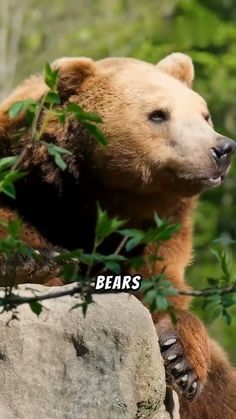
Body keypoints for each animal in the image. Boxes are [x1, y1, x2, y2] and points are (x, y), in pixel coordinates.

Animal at [0, 53, 235, 419]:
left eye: (204, 114)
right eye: (158, 114)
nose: (222, 148)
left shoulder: (157, 234)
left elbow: (165, 293)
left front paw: (181, 360)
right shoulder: (21, 176)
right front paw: (32, 260)